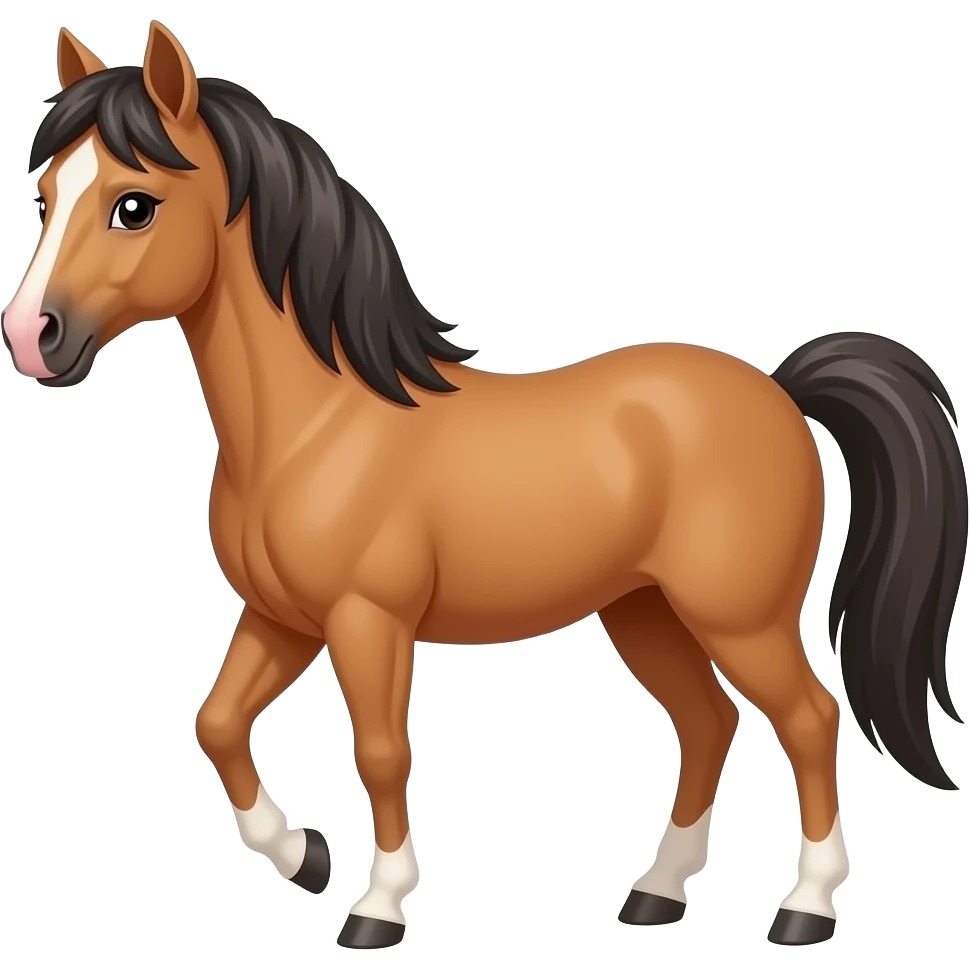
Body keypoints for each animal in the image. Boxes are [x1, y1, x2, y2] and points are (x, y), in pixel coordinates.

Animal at [4, 20, 966, 951]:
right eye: (46, 195)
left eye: (134, 204)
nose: (28, 336)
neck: (319, 425)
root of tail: (779, 389)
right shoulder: (283, 618)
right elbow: (216, 723)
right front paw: (304, 857)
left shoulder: (367, 619)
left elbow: (382, 752)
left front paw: (378, 908)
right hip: (644, 611)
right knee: (707, 724)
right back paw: (655, 896)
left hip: (739, 616)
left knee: (808, 719)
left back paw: (806, 910)